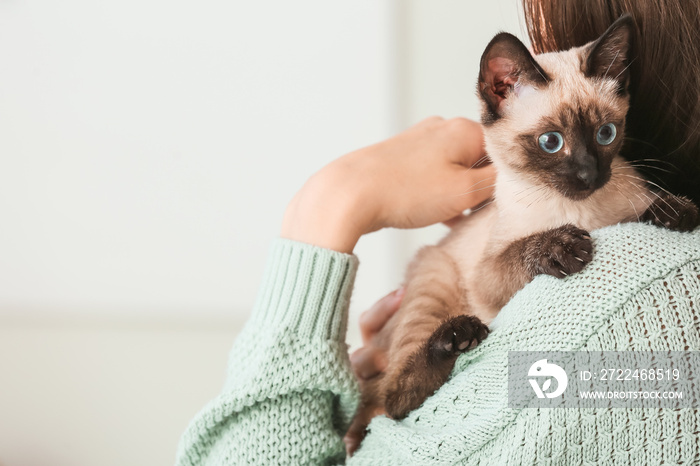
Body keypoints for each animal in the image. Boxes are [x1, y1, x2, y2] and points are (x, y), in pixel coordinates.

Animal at [346, 15, 700, 456]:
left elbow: (650, 203)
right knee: (392, 401)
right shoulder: (488, 276)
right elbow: (520, 251)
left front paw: (675, 211)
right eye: (551, 142)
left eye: (606, 134)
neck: (581, 211)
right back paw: (457, 336)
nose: (589, 175)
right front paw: (562, 245)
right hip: (434, 277)